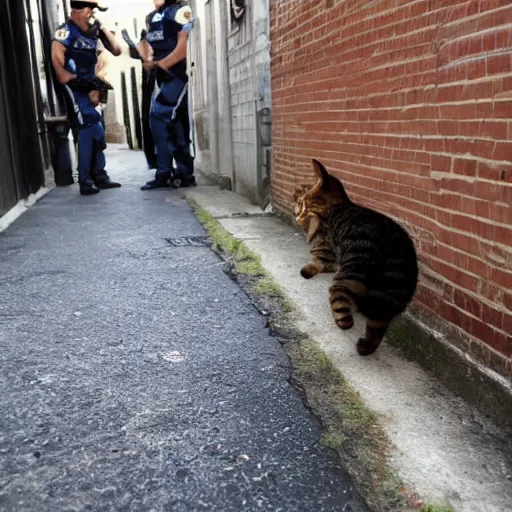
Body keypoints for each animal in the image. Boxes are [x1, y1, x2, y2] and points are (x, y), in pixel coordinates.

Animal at [294, 160, 418, 356]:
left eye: (303, 201)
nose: (297, 213)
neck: (338, 205)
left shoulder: (326, 251)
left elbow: (317, 261)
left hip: (351, 271)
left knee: (339, 292)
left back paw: (344, 320)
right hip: (390, 290)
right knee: (378, 321)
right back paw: (366, 346)